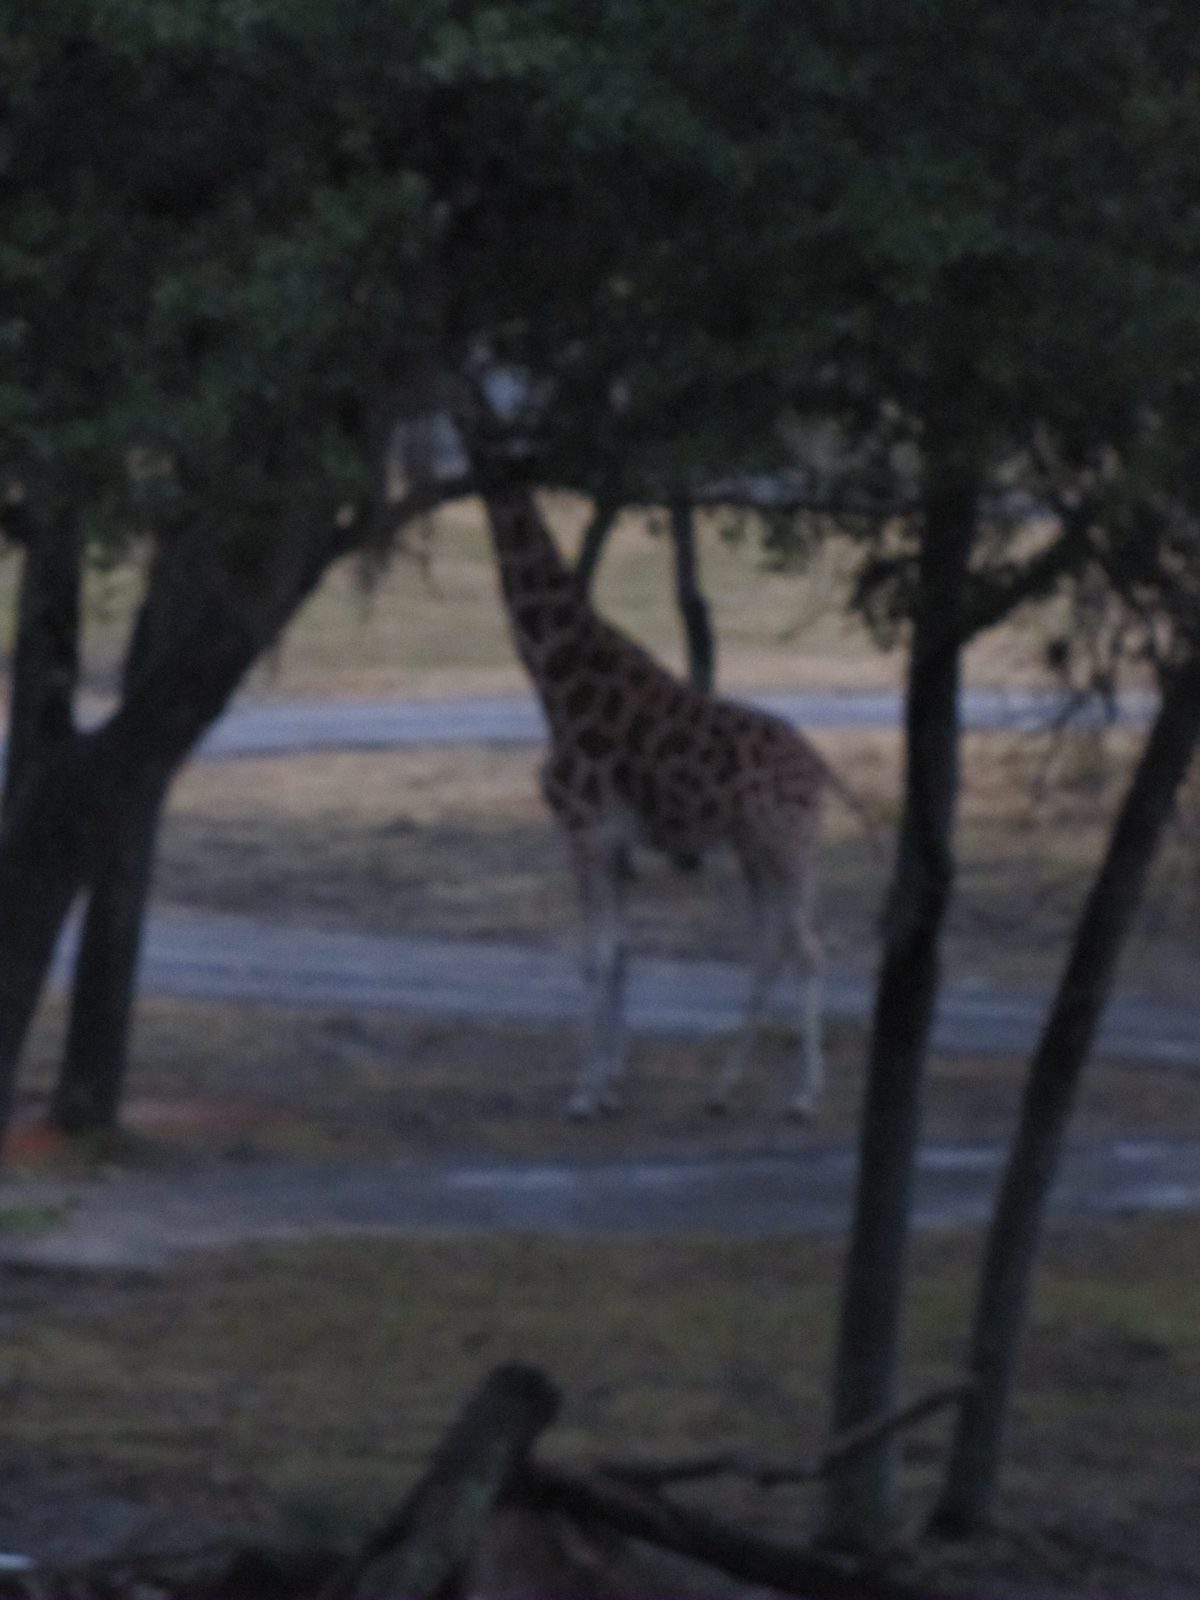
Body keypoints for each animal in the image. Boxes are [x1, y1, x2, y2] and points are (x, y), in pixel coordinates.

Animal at [480, 480, 841, 1120]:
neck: (554, 684)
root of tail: (819, 769)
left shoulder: (584, 829)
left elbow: (595, 957)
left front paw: (584, 1093)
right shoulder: (614, 842)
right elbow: (621, 952)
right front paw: (611, 1082)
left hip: (784, 844)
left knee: (807, 949)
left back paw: (802, 1096)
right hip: (765, 851)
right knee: (773, 945)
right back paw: (723, 1089)